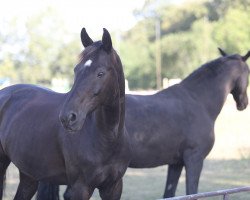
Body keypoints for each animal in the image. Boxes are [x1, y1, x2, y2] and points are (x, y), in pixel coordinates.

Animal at [0, 28, 131, 200]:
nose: (68, 118)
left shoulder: (113, 187)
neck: (108, 138)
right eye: (76, 70)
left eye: (100, 73)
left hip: (29, 176)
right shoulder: (79, 188)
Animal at [37, 47, 250, 199]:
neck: (197, 100)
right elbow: (192, 192)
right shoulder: (194, 159)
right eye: (248, 72)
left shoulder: (176, 163)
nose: (243, 103)